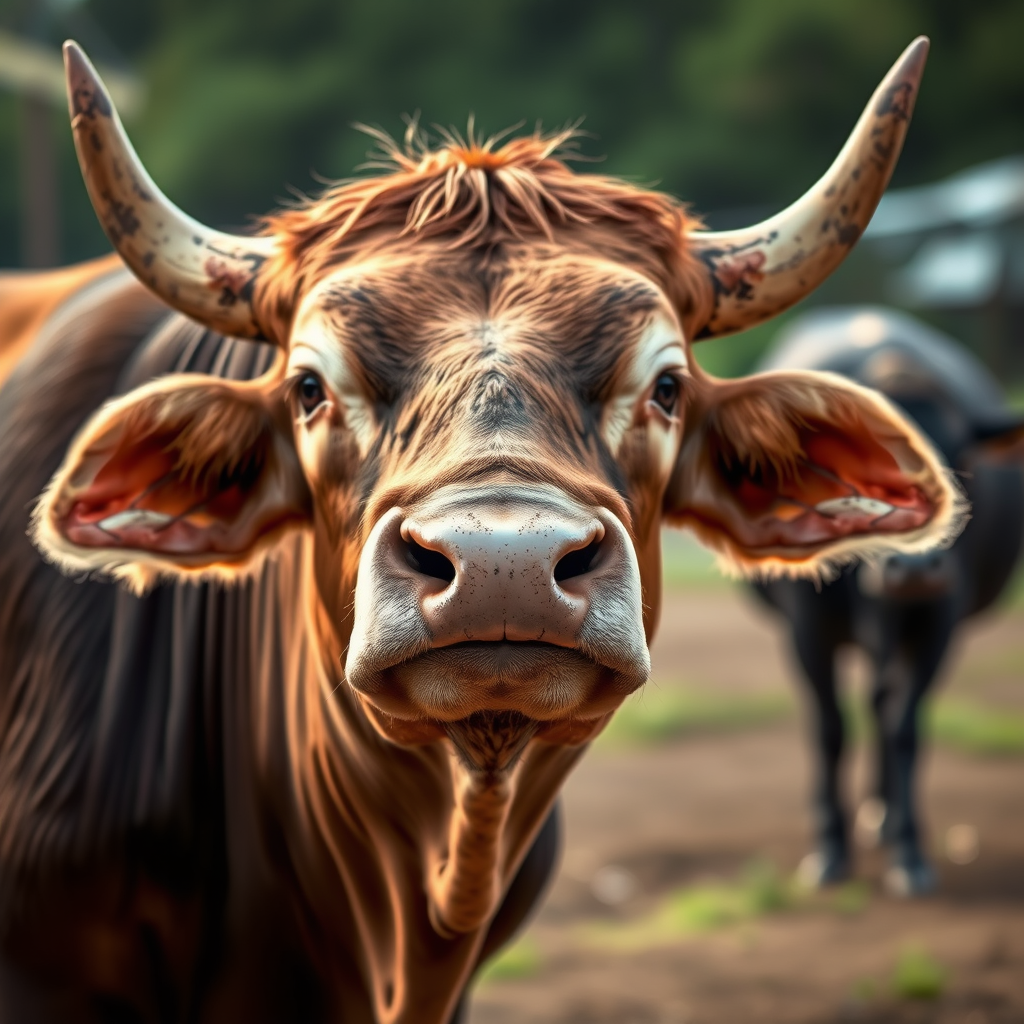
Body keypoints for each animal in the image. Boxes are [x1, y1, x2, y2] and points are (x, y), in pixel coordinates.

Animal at [752, 306, 1024, 897]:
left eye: (960, 465)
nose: (916, 570)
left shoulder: (940, 620)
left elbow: (905, 727)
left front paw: (909, 847)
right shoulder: (806, 628)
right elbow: (830, 727)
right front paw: (829, 848)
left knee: (883, 706)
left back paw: (882, 815)